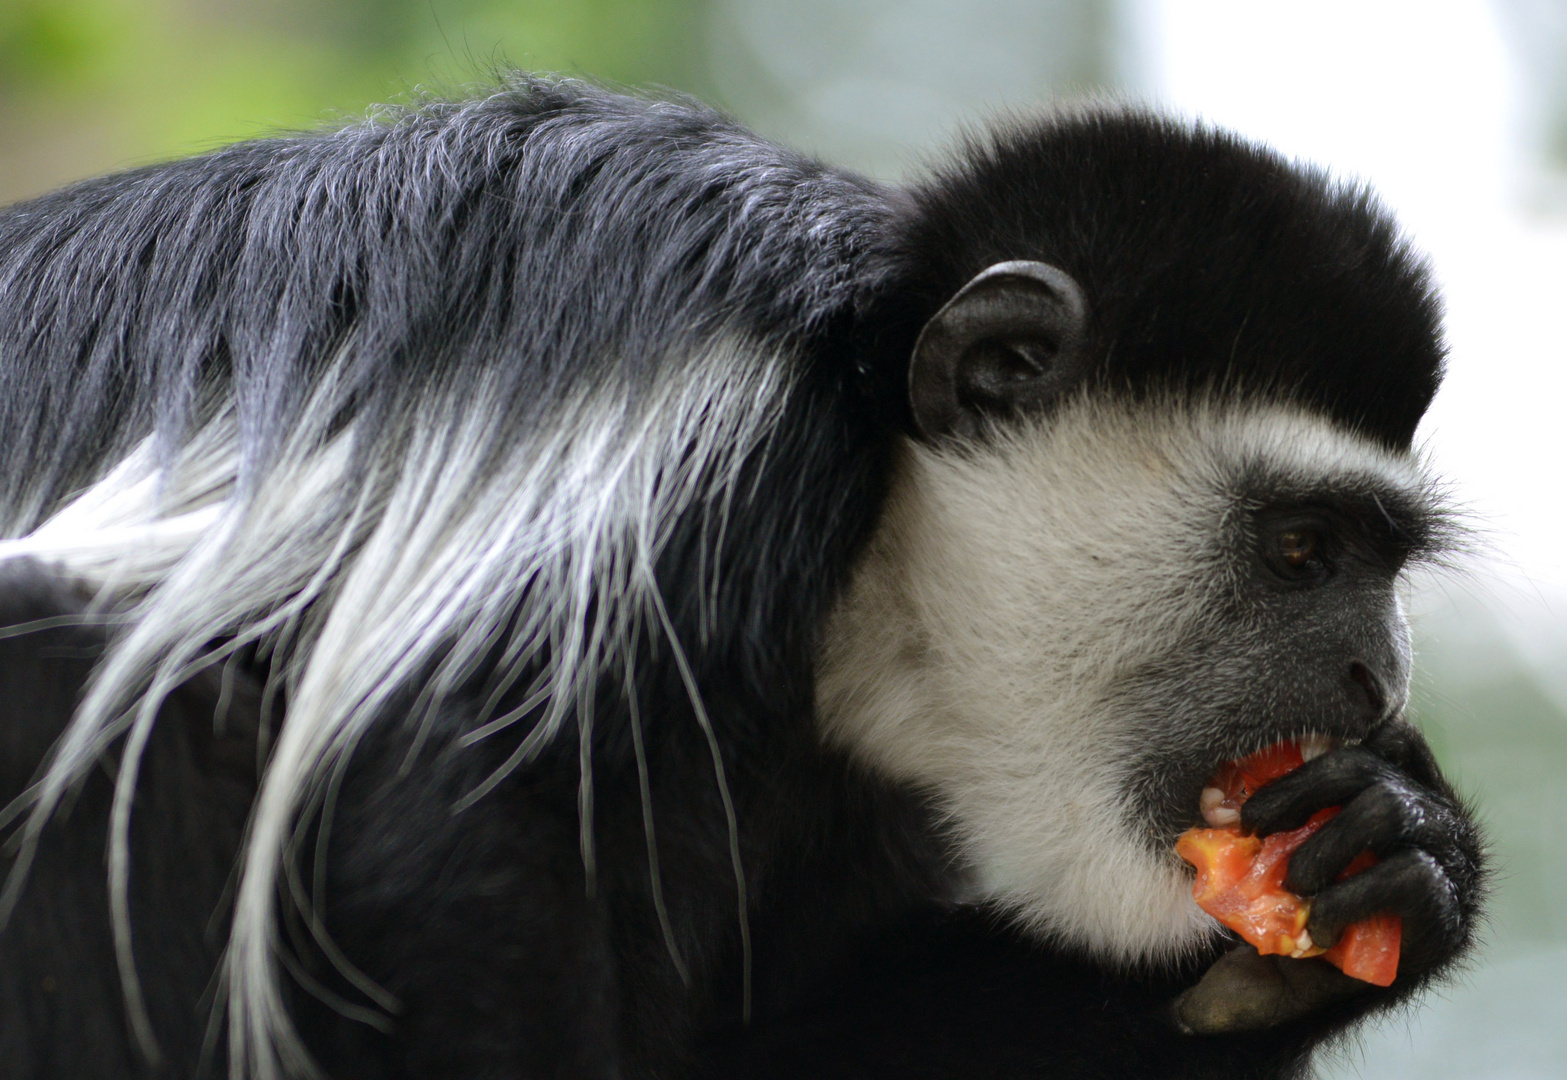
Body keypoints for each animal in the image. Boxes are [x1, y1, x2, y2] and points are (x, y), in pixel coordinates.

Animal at [0, 77, 1479, 1078]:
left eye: (1383, 563)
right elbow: (436, 798)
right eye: (1301, 549)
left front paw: (1405, 853)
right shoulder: (697, 446)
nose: (1373, 680)